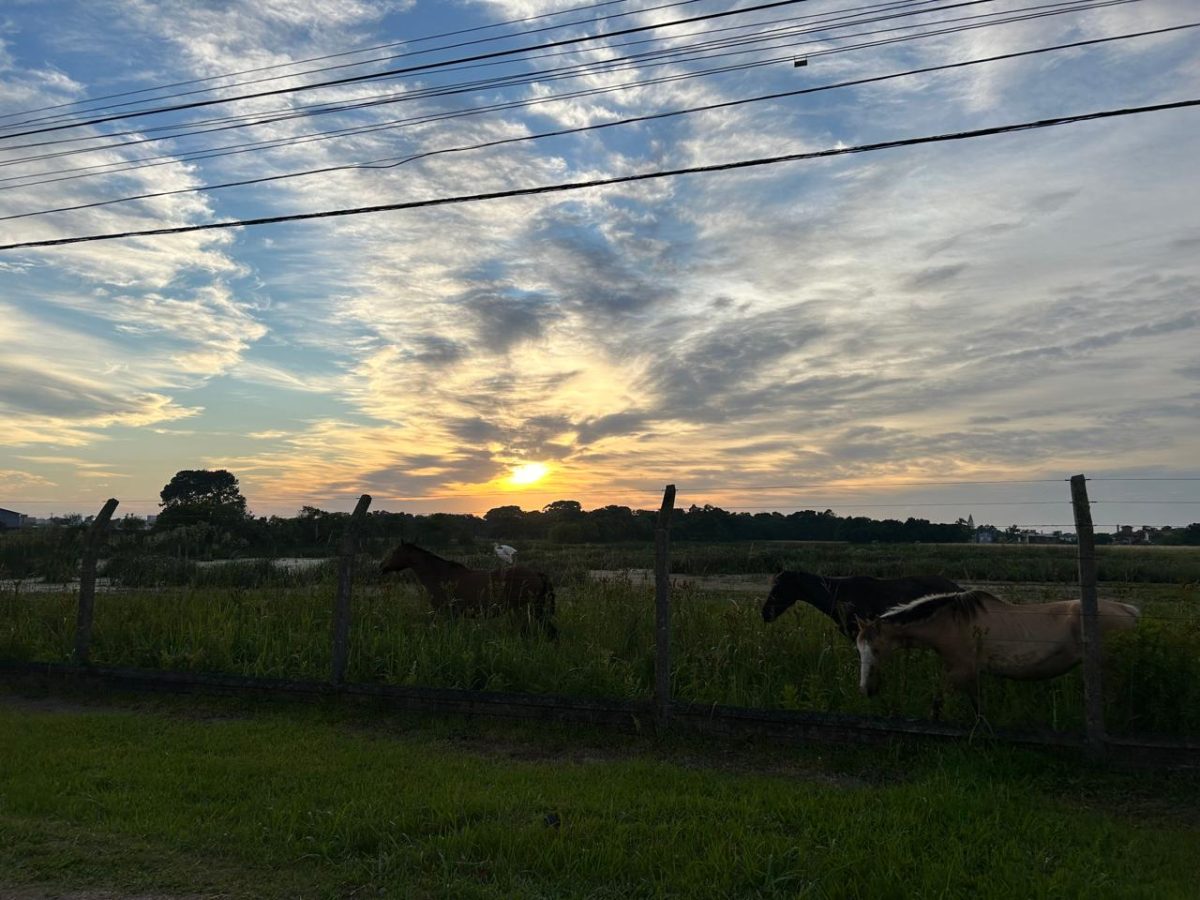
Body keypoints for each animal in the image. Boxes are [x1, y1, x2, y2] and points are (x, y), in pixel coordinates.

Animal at [379, 542, 556, 643]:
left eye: (394, 552)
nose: (382, 566)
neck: (440, 575)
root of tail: (537, 573)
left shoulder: (445, 612)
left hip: (525, 610)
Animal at [859, 592, 1137, 720]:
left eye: (876, 649)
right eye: (858, 649)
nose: (866, 689)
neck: (951, 624)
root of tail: (1128, 610)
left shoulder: (961, 672)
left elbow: (940, 705)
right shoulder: (966, 674)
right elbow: (975, 705)